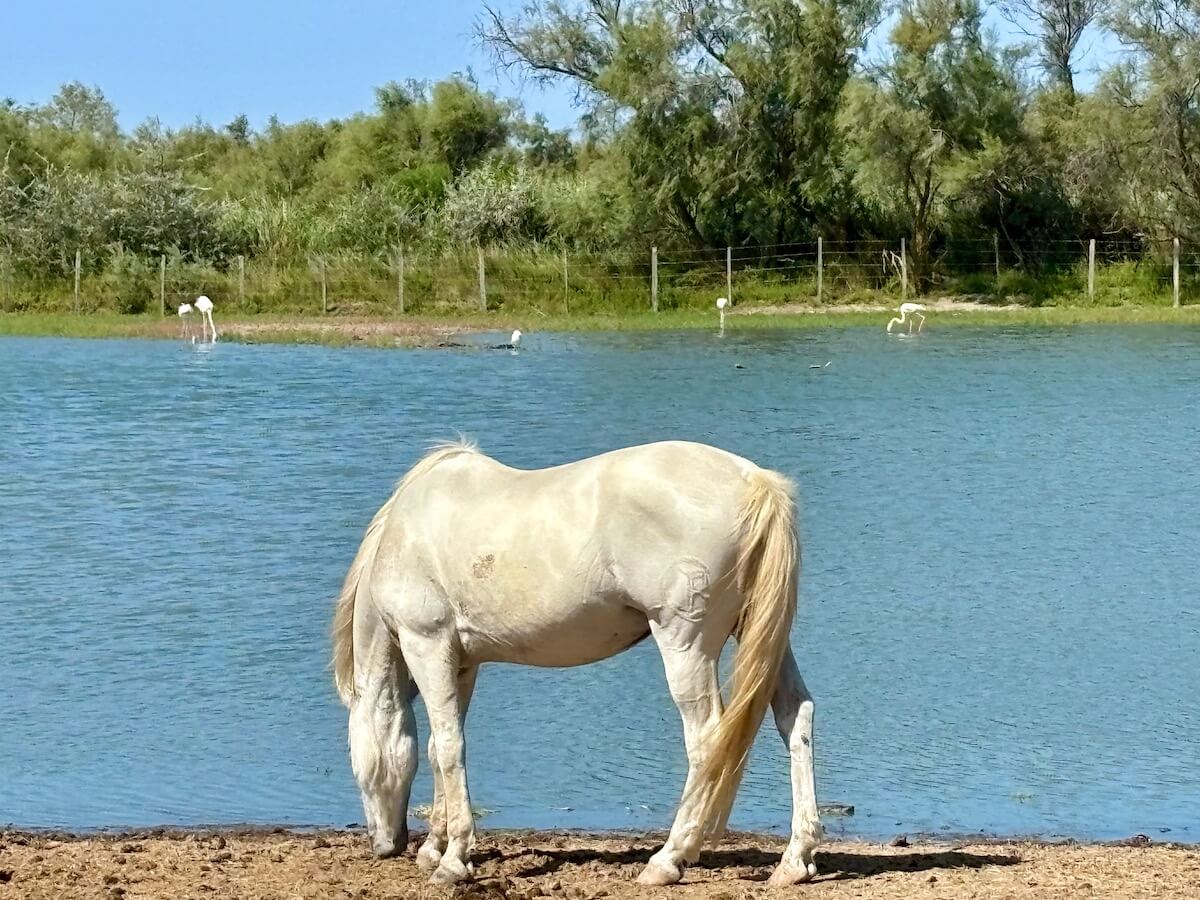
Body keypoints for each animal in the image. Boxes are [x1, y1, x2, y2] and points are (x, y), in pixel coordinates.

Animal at [331, 439, 822, 887]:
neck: (406, 534)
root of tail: (755, 481)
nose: (384, 845)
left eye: (355, 761)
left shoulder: (427, 646)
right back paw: (795, 861)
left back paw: (668, 859)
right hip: (762, 635)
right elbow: (437, 749)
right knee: (794, 716)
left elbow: (450, 749)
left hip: (686, 645)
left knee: (705, 740)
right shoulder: (461, 663)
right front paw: (435, 847)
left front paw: (452, 862)